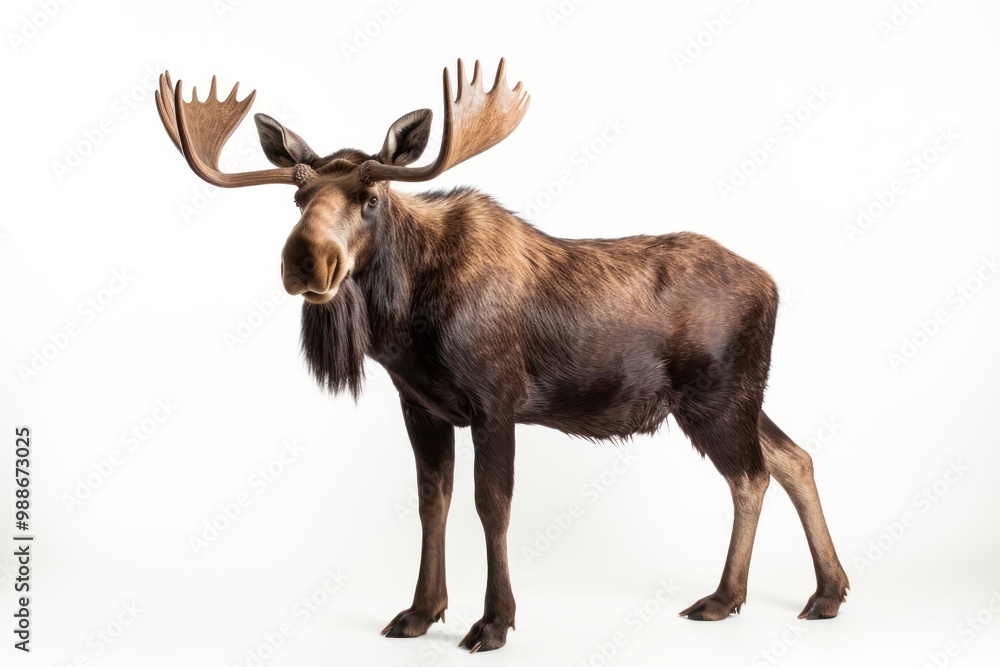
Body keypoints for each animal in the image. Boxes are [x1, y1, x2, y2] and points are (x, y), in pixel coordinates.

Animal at [155, 59, 849, 653]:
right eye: (298, 199)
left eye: (371, 197)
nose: (306, 260)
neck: (403, 322)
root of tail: (773, 286)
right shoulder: (421, 404)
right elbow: (432, 498)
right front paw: (420, 611)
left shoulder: (496, 401)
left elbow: (493, 505)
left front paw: (493, 622)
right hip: (736, 396)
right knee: (794, 456)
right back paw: (827, 592)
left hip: (717, 397)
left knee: (752, 475)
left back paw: (725, 597)